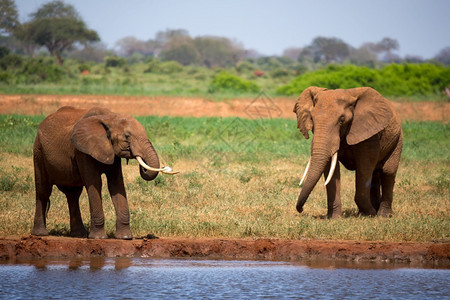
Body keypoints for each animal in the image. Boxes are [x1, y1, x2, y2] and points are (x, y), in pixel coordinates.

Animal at [31, 105, 178, 239]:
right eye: (127, 136)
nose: (166, 167)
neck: (111, 117)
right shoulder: (82, 150)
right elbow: (95, 183)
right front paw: (99, 238)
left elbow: (116, 184)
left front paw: (125, 237)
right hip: (38, 151)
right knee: (43, 191)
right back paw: (40, 234)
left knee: (73, 195)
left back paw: (79, 235)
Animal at [294, 86, 402, 218]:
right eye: (312, 119)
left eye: (342, 120)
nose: (301, 209)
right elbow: (331, 170)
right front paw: (334, 218)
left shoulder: (369, 133)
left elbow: (364, 167)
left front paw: (370, 213)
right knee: (375, 173)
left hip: (397, 139)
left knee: (388, 171)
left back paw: (382, 215)